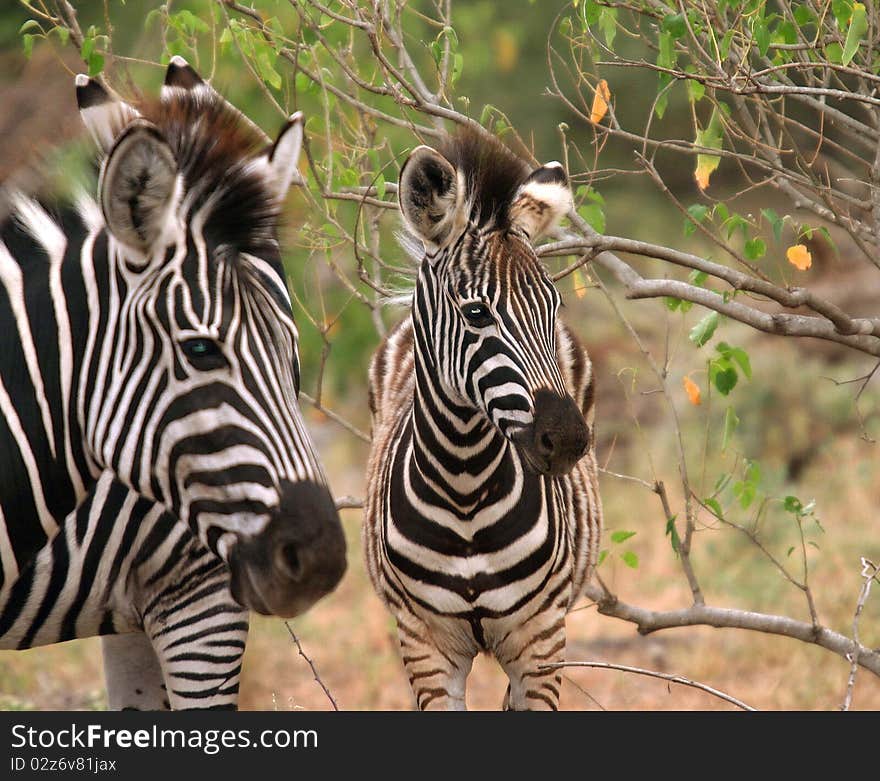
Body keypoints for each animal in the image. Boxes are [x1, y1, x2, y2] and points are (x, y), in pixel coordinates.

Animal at [364, 131, 604, 708]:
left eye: (554, 306)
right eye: (476, 313)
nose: (568, 440)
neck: (464, 483)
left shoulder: (540, 641)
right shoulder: (425, 645)